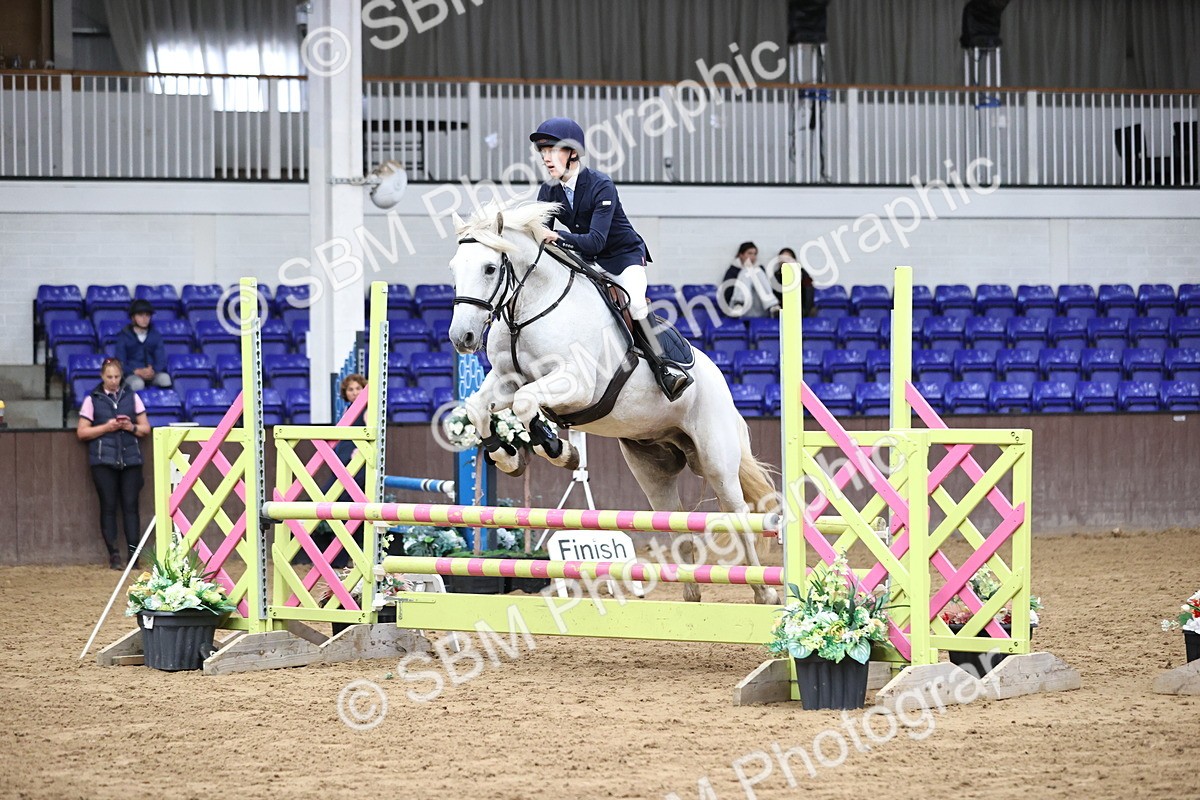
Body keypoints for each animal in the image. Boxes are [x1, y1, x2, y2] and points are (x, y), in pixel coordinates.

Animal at [446, 201, 778, 604]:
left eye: (490, 268)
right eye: (454, 268)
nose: (461, 338)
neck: (529, 311)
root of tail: (721, 384)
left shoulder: (578, 385)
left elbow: (526, 404)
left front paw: (560, 450)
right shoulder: (506, 380)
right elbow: (479, 408)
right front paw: (508, 457)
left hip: (716, 458)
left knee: (738, 512)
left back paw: (765, 594)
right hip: (651, 466)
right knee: (674, 516)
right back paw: (690, 594)